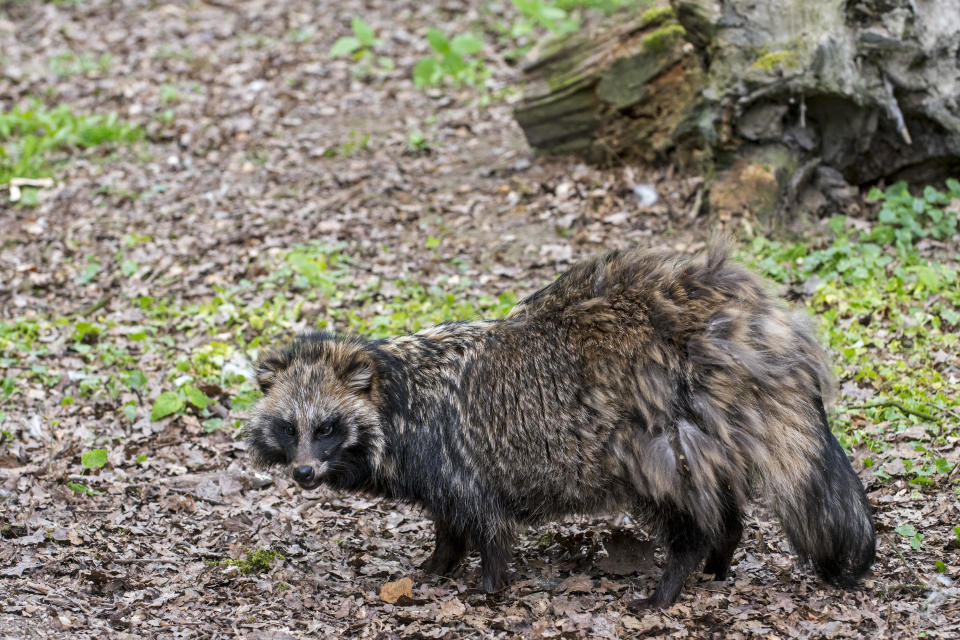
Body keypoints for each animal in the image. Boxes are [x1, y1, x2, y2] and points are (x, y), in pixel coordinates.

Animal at [244, 242, 872, 608]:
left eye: (327, 427)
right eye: (290, 428)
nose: (303, 474)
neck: (395, 390)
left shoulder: (457, 459)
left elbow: (484, 524)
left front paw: (489, 585)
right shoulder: (438, 473)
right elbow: (448, 524)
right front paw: (436, 566)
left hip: (656, 441)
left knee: (688, 511)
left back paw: (675, 578)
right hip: (702, 435)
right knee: (722, 503)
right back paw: (719, 559)